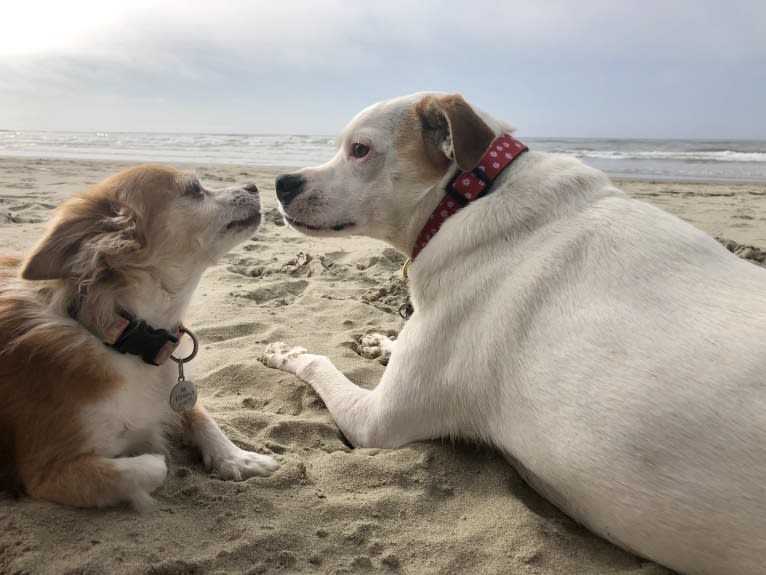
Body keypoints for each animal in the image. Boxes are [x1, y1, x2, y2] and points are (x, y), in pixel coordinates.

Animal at [0, 165, 280, 508]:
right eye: (195, 189)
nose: (254, 186)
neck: (126, 337)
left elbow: (199, 414)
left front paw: (237, 457)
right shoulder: (49, 472)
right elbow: (155, 465)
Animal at [260, 92, 764, 572]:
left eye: (360, 149)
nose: (281, 183)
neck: (467, 198)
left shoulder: (376, 422)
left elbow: (320, 362)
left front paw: (287, 353)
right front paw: (377, 341)